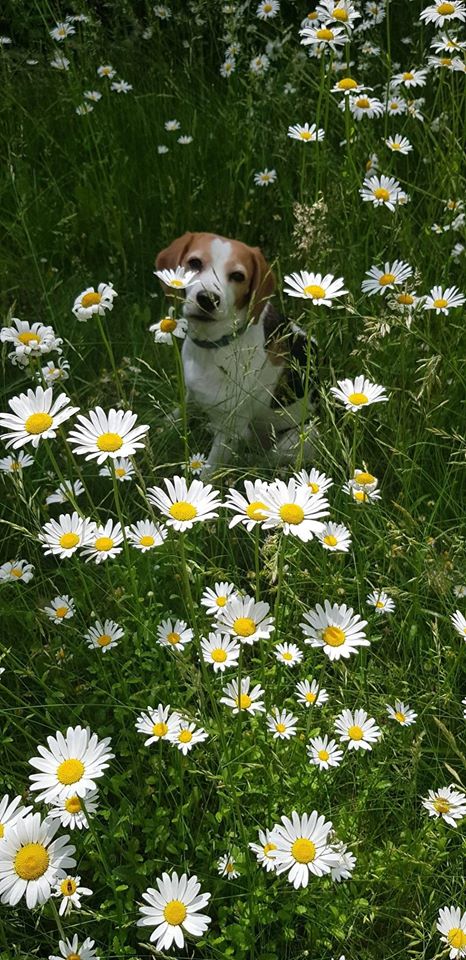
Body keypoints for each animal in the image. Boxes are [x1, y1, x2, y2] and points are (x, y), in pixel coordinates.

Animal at [155, 232, 318, 472]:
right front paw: (162, 426)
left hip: (298, 439)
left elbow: (209, 472)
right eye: (194, 263)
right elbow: (182, 411)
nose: (208, 299)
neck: (215, 345)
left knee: (266, 460)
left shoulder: (230, 430)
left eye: (238, 276)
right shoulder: (193, 393)